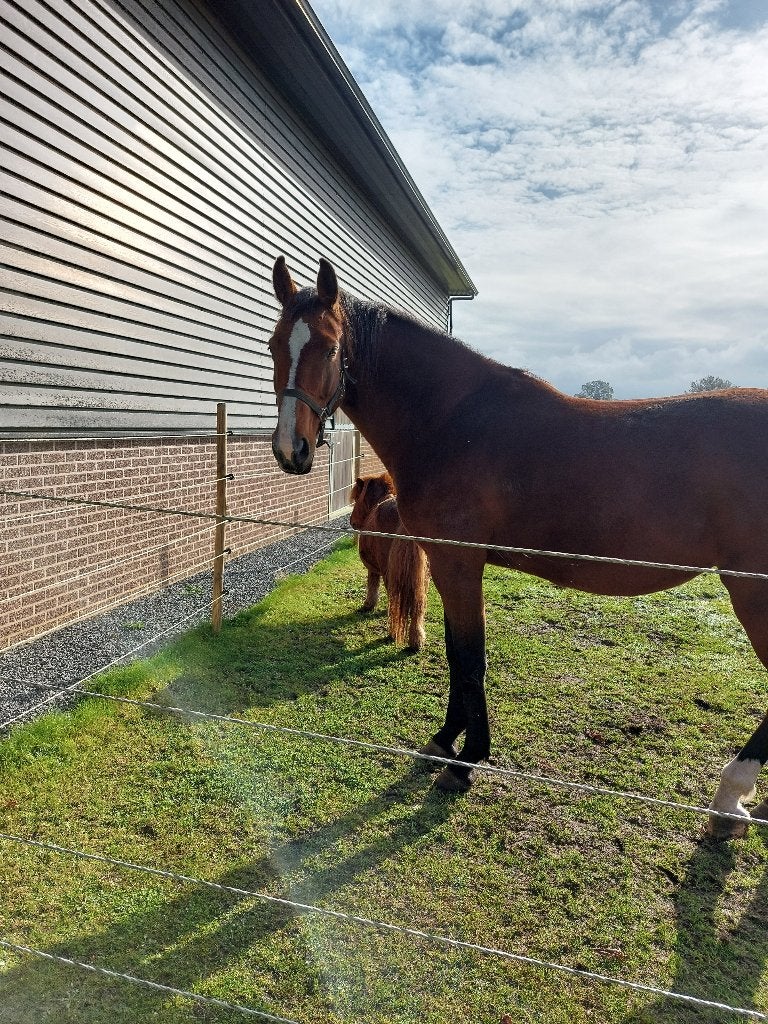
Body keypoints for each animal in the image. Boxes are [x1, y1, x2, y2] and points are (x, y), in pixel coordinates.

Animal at [350, 472, 430, 651]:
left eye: (357, 497)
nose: (352, 522)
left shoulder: (374, 569)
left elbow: (373, 586)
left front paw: (369, 605)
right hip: (423, 577)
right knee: (419, 604)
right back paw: (417, 640)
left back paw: (393, 633)